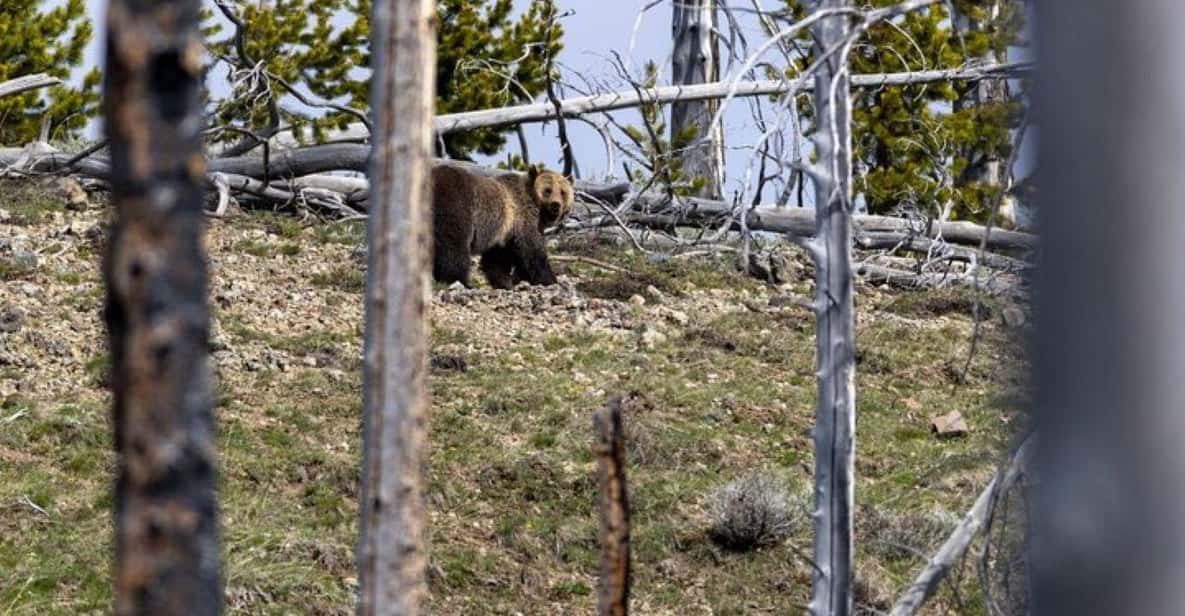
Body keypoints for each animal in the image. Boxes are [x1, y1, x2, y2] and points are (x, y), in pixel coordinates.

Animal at [433, 163, 575, 289]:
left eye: (563, 192)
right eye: (547, 190)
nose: (555, 205)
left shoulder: (504, 233)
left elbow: (497, 259)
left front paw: (505, 283)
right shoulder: (524, 220)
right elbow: (533, 253)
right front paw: (550, 280)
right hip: (456, 205)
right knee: (454, 247)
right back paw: (461, 282)